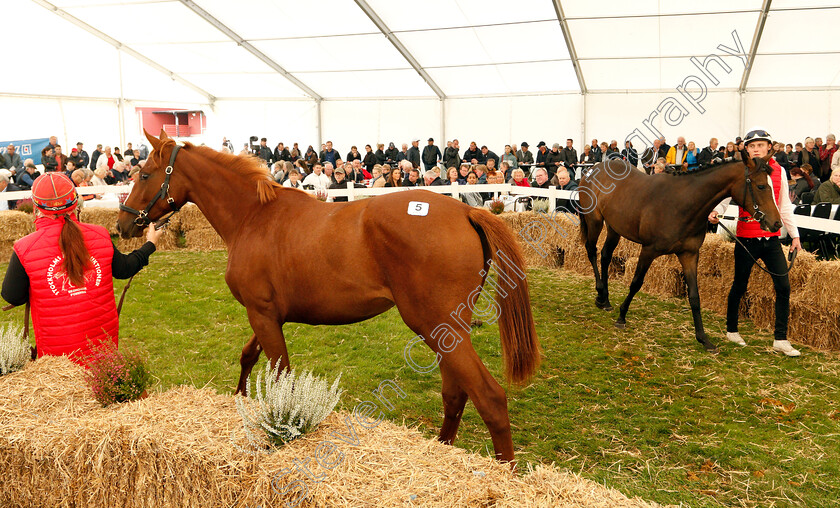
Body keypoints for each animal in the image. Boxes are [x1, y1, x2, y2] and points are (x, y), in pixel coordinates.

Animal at [116, 132, 540, 464]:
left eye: (144, 174)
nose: (123, 224)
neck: (253, 217)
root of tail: (466, 211)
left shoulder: (262, 314)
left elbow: (281, 376)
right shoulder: (267, 314)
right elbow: (248, 356)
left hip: (435, 326)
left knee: (489, 397)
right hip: (449, 331)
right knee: (455, 395)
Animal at [576, 150, 780, 350]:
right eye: (761, 186)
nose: (776, 223)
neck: (682, 204)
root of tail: (593, 169)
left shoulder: (689, 255)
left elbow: (695, 296)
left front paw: (703, 338)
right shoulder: (648, 250)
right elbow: (636, 283)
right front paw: (621, 317)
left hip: (614, 228)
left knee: (605, 255)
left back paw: (604, 300)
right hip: (594, 221)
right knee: (592, 251)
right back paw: (600, 292)